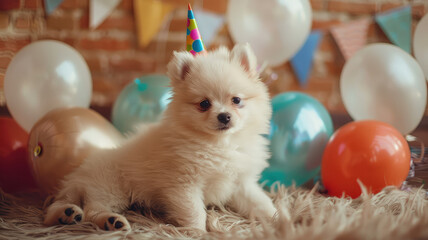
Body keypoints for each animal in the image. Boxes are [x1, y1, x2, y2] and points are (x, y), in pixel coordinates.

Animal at [44, 43, 278, 231]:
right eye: (204, 104)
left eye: (236, 100)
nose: (224, 116)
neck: (219, 144)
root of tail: (79, 175)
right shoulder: (183, 185)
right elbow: (195, 212)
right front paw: (197, 232)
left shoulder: (241, 183)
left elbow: (261, 202)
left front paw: (279, 219)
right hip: (110, 188)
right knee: (92, 211)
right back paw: (111, 221)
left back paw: (67, 214)